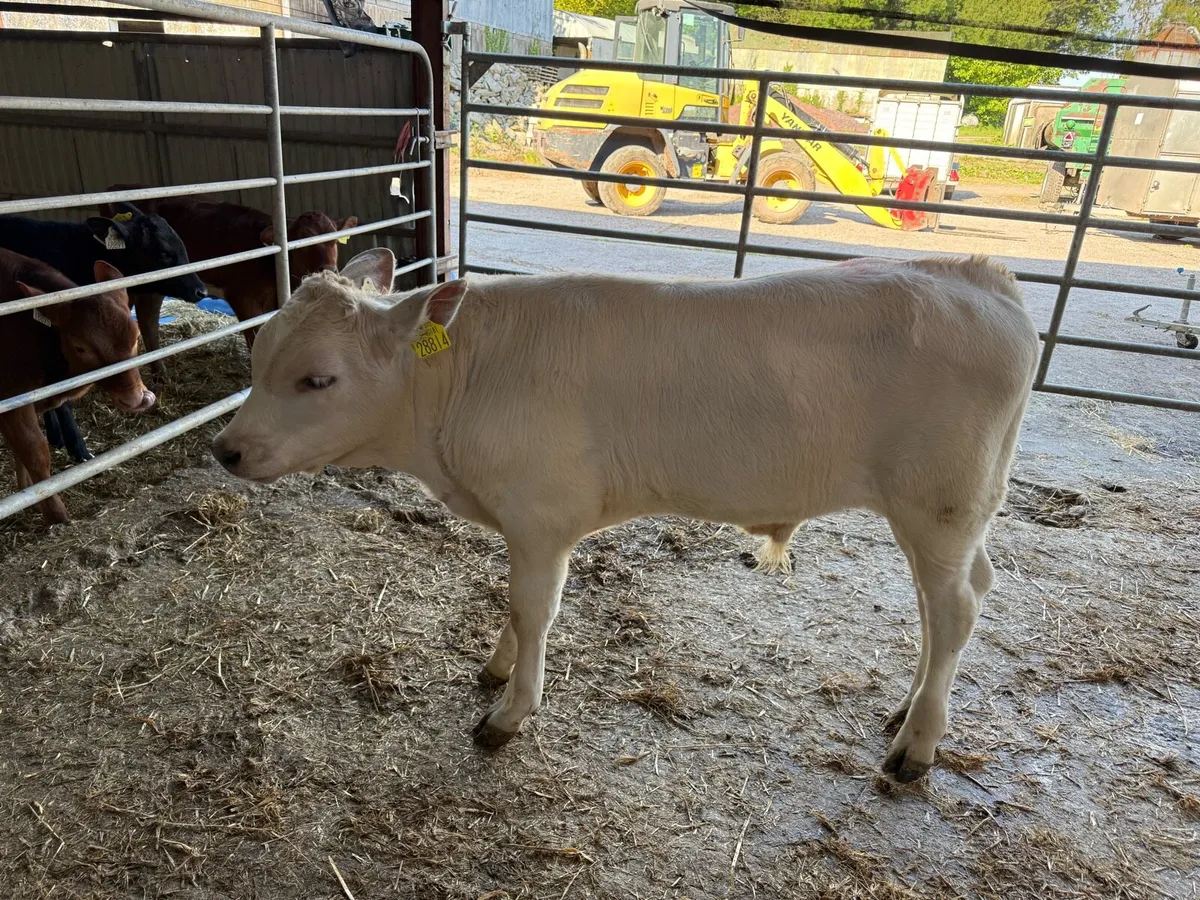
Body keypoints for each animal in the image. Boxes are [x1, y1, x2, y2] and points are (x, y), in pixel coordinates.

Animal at [0, 248, 154, 525]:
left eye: (136, 336)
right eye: (80, 347)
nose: (135, 399)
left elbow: (20, 450)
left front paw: (29, 497)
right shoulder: (11, 399)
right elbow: (35, 451)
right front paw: (55, 514)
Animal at [101, 189, 357, 354]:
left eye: (335, 240)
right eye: (302, 241)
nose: (329, 269)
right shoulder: (243, 298)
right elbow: (255, 337)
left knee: (147, 317)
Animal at [211, 249, 1039, 782]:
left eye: (317, 378)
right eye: (258, 355)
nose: (226, 449)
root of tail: (980, 275)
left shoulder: (542, 514)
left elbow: (533, 610)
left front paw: (510, 712)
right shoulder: (523, 522)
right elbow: (512, 606)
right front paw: (495, 668)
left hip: (938, 502)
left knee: (955, 609)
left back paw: (916, 748)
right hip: (951, 513)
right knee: (951, 603)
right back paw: (906, 712)